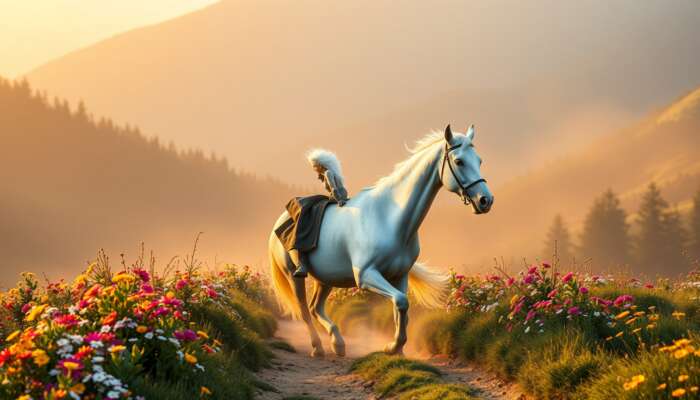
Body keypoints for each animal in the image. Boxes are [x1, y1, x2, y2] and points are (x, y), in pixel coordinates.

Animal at [268, 124, 494, 356]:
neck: (389, 217)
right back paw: (318, 347)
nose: (485, 200)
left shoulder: (399, 276)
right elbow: (401, 302)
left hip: (325, 278)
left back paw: (337, 343)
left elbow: (401, 310)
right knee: (304, 310)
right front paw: (393, 346)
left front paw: (398, 349)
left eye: (479, 160)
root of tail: (279, 222)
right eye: (459, 161)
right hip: (294, 276)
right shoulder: (366, 275)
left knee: (315, 308)